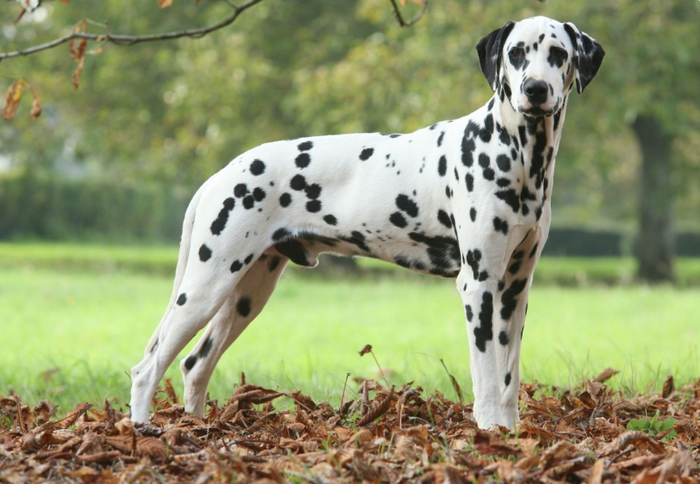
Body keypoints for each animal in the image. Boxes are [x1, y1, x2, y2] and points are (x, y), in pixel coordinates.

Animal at [130, 16, 600, 432]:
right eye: (516, 53)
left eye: (558, 54)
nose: (535, 89)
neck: (519, 154)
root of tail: (221, 174)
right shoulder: (479, 285)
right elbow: (486, 378)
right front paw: (488, 433)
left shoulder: (514, 290)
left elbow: (507, 380)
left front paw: (510, 435)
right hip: (206, 286)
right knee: (148, 367)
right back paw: (142, 430)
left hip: (247, 295)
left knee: (195, 364)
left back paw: (198, 429)